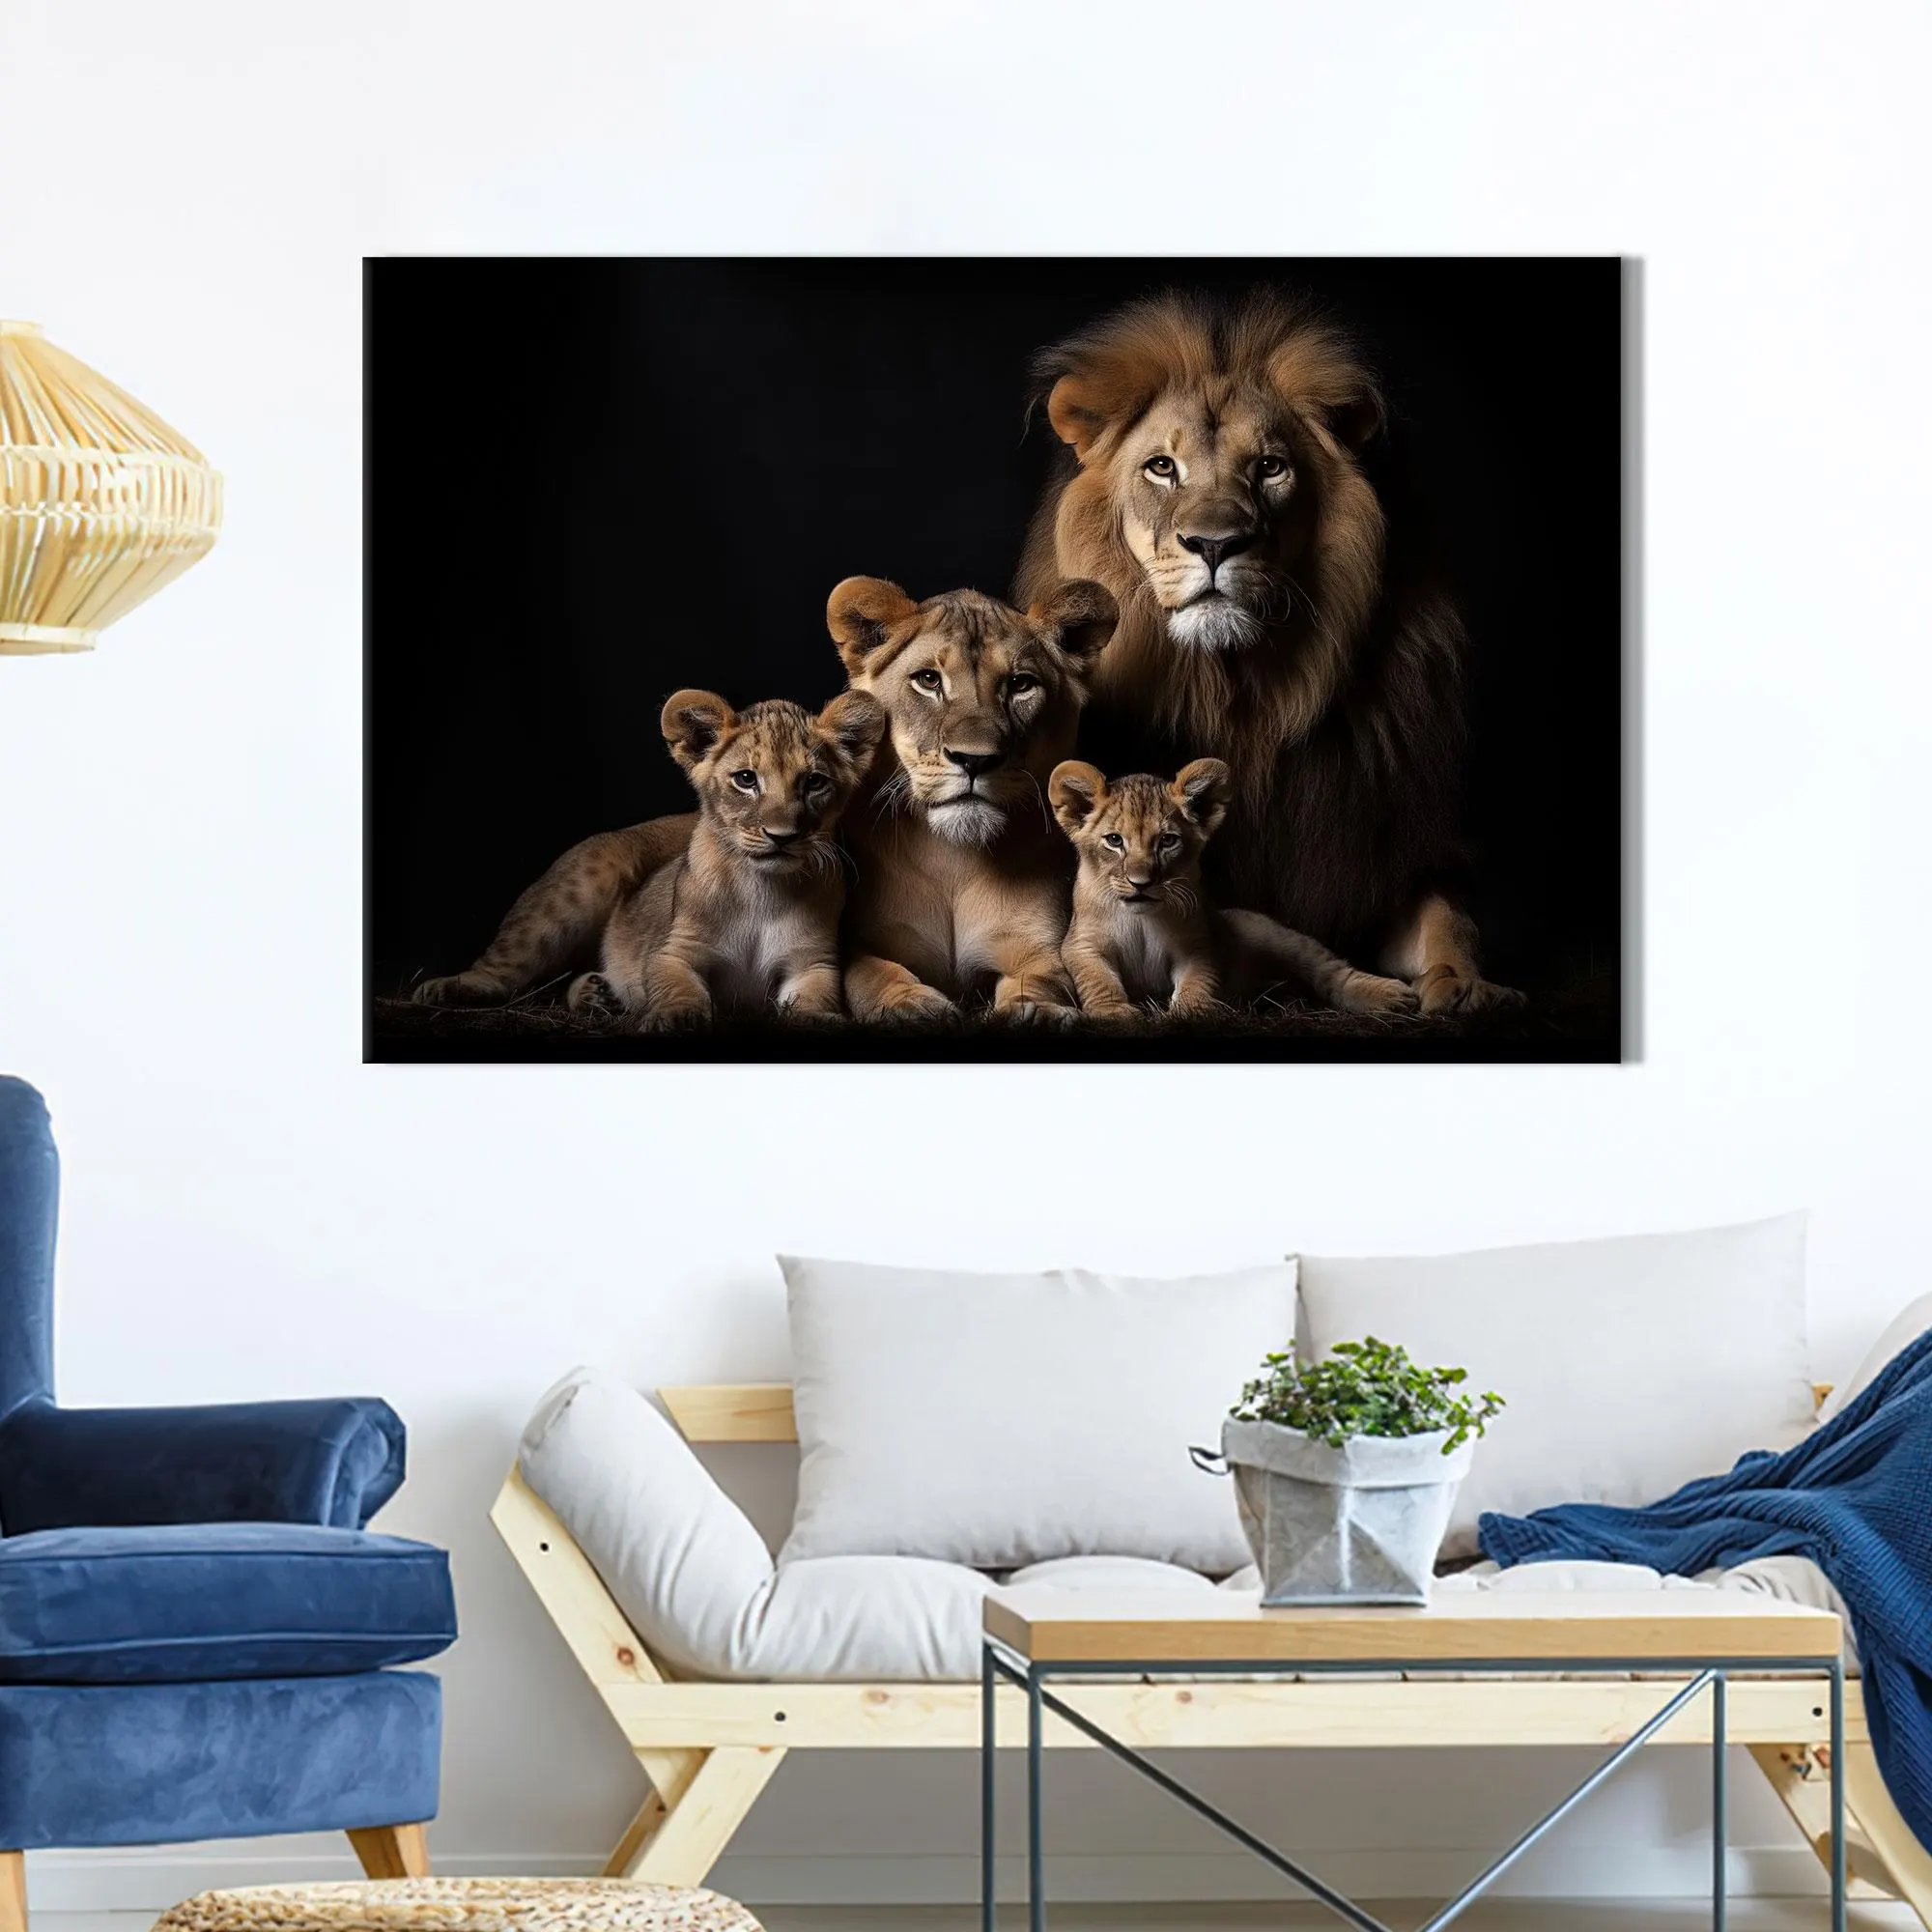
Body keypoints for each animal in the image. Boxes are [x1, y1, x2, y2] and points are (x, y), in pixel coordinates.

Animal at [569, 687, 884, 1026]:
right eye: (746, 779)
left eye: (814, 781)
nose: (782, 836)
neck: (763, 891)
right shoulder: (674, 951)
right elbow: (676, 985)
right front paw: (678, 1017)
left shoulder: (812, 962)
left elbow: (814, 996)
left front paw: (816, 1018)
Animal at [825, 574, 1117, 1021]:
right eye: (928, 680)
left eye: (1020, 684)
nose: (974, 760)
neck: (954, 863)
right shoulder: (859, 943)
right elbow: (872, 975)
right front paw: (910, 1006)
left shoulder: (1040, 949)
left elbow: (1044, 981)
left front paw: (1033, 1012)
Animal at [1050, 758, 1418, 1021]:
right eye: (1114, 840)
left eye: (1167, 841)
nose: (1142, 883)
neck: (1143, 918)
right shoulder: (1081, 944)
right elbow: (1097, 978)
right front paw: (1113, 1012)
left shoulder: (1199, 943)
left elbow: (1199, 978)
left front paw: (1193, 1011)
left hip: (1279, 937)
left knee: (1330, 969)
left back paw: (1391, 996)